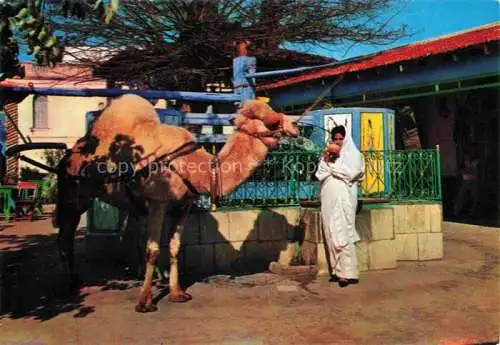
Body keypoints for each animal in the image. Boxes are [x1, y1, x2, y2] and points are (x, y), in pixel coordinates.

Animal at [54, 94, 298, 312]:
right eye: (272, 120)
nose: (295, 126)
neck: (197, 168)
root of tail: (69, 154)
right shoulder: (158, 202)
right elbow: (152, 250)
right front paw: (145, 302)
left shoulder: (183, 206)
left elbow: (174, 246)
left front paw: (177, 293)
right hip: (73, 194)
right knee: (64, 237)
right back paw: (69, 285)